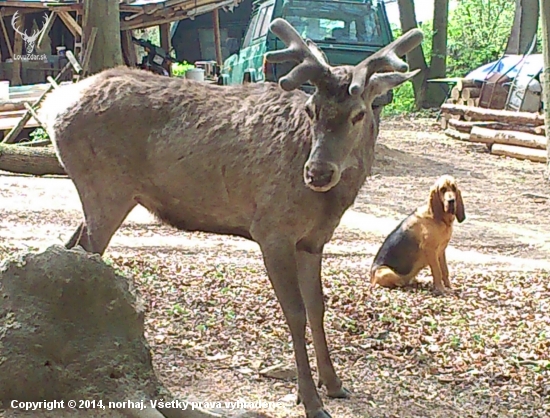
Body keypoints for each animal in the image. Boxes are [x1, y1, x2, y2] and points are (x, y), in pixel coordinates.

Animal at [40, 18, 422, 418]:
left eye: (359, 113)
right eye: (312, 109)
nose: (317, 173)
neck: (328, 205)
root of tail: (52, 106)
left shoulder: (313, 240)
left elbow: (318, 307)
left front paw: (334, 384)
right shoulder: (272, 230)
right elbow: (295, 312)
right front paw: (310, 400)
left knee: (69, 248)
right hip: (106, 188)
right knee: (85, 253)